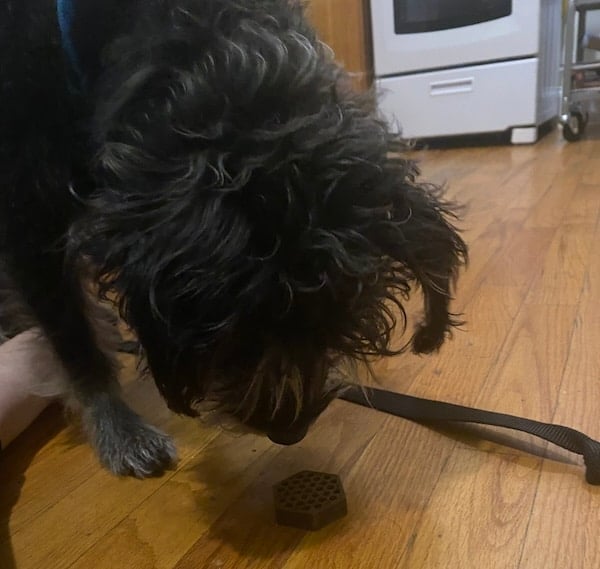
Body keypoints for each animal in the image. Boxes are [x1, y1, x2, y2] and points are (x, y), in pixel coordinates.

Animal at [0, 0, 468, 478]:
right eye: (241, 336)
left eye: (342, 329)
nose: (289, 432)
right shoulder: (27, 215)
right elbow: (72, 337)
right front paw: (119, 427)